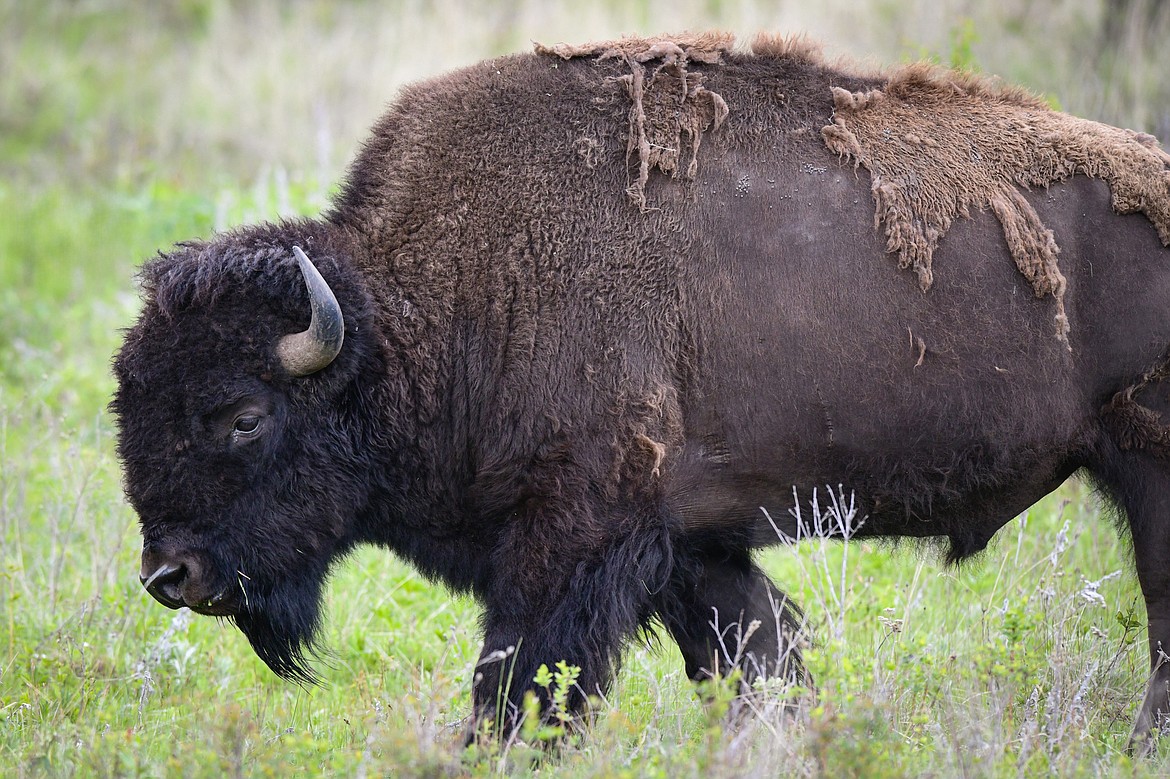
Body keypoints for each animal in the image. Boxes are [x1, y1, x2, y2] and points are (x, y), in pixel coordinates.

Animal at [114, 31, 1170, 748]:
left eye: (242, 416)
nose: (170, 576)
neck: (434, 307)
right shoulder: (691, 543)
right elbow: (756, 653)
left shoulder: (575, 534)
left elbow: (525, 682)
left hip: (1148, 467)